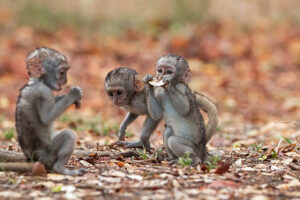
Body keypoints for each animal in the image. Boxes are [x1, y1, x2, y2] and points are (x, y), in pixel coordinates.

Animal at [15, 47, 85, 175]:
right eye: (62, 72)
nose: (65, 81)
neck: (37, 81)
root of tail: (32, 160)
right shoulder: (43, 92)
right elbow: (47, 117)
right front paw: (73, 94)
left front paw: (66, 97)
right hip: (47, 157)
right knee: (68, 135)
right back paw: (60, 168)